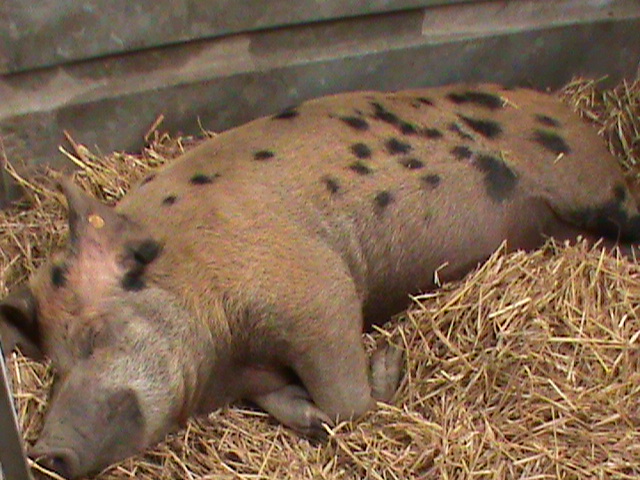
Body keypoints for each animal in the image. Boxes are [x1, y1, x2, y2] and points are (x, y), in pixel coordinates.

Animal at [1, 83, 639, 479]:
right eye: (53, 365)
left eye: (94, 337)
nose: (44, 451)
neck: (229, 357)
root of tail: (581, 120)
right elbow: (301, 407)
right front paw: (310, 417)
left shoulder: (314, 290)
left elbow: (349, 400)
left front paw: (390, 359)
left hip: (590, 184)